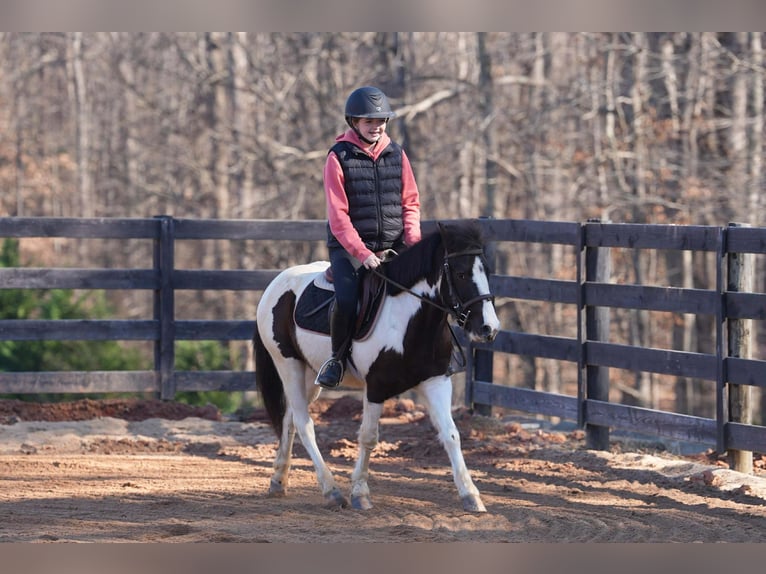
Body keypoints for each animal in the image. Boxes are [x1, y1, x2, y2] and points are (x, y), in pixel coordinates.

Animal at [253, 219, 500, 512]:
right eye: (461, 274)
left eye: (487, 271)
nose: (489, 328)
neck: (408, 320)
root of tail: (277, 283)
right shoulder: (377, 387)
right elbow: (368, 436)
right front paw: (360, 493)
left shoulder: (436, 381)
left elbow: (451, 434)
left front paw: (470, 495)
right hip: (287, 364)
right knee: (303, 423)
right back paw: (332, 491)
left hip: (309, 374)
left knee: (290, 419)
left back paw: (278, 480)